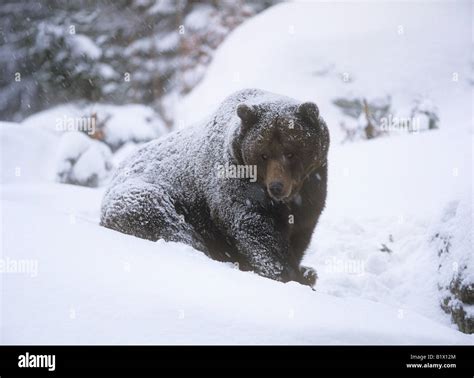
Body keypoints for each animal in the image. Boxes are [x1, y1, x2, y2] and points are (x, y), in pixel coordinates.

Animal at [100, 88, 330, 288]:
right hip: (143, 197)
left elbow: (301, 230)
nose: (277, 187)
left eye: (291, 153)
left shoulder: (312, 187)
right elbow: (254, 226)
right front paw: (287, 274)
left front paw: (301, 272)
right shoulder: (236, 180)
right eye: (263, 154)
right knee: (170, 225)